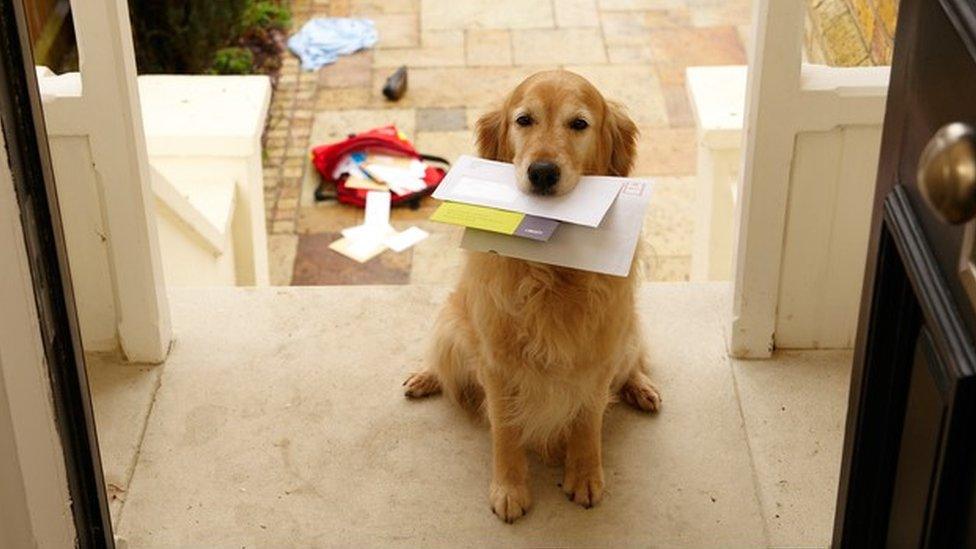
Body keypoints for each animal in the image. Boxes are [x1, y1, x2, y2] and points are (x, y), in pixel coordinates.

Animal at [400, 69, 660, 524]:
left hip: (627, 332)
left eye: (579, 124)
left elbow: (588, 420)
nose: (542, 172)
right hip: (451, 326)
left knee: (633, 363)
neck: (551, 273)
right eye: (524, 120)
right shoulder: (497, 362)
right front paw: (510, 488)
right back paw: (425, 377)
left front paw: (585, 474)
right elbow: (505, 429)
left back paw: (641, 388)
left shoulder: (597, 355)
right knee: (444, 362)